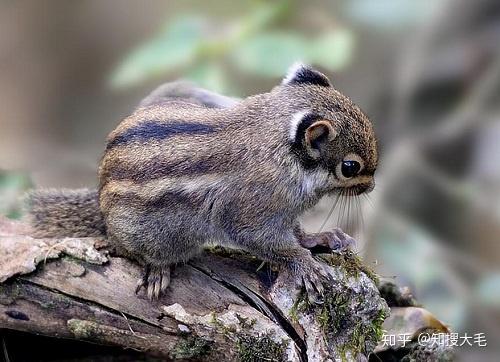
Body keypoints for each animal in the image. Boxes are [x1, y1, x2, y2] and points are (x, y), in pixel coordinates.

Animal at [27, 64, 376, 300]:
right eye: (350, 167)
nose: (371, 186)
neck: (280, 150)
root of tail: (101, 199)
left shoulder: (283, 212)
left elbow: (297, 232)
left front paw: (319, 238)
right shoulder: (252, 210)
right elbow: (269, 242)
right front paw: (305, 265)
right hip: (142, 234)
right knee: (122, 246)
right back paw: (156, 270)